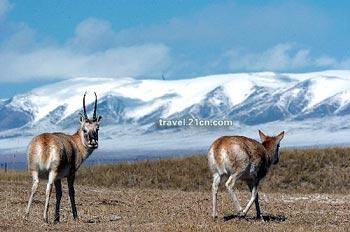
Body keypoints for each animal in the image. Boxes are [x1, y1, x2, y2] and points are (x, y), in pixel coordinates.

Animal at [23, 91, 101, 223]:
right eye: (84, 129)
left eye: (97, 128)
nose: (93, 143)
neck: (74, 143)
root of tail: (45, 140)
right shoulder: (71, 174)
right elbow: (71, 192)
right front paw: (75, 216)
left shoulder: (58, 178)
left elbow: (59, 194)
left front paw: (57, 218)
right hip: (52, 172)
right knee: (48, 189)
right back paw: (45, 217)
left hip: (35, 171)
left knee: (34, 187)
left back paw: (26, 215)